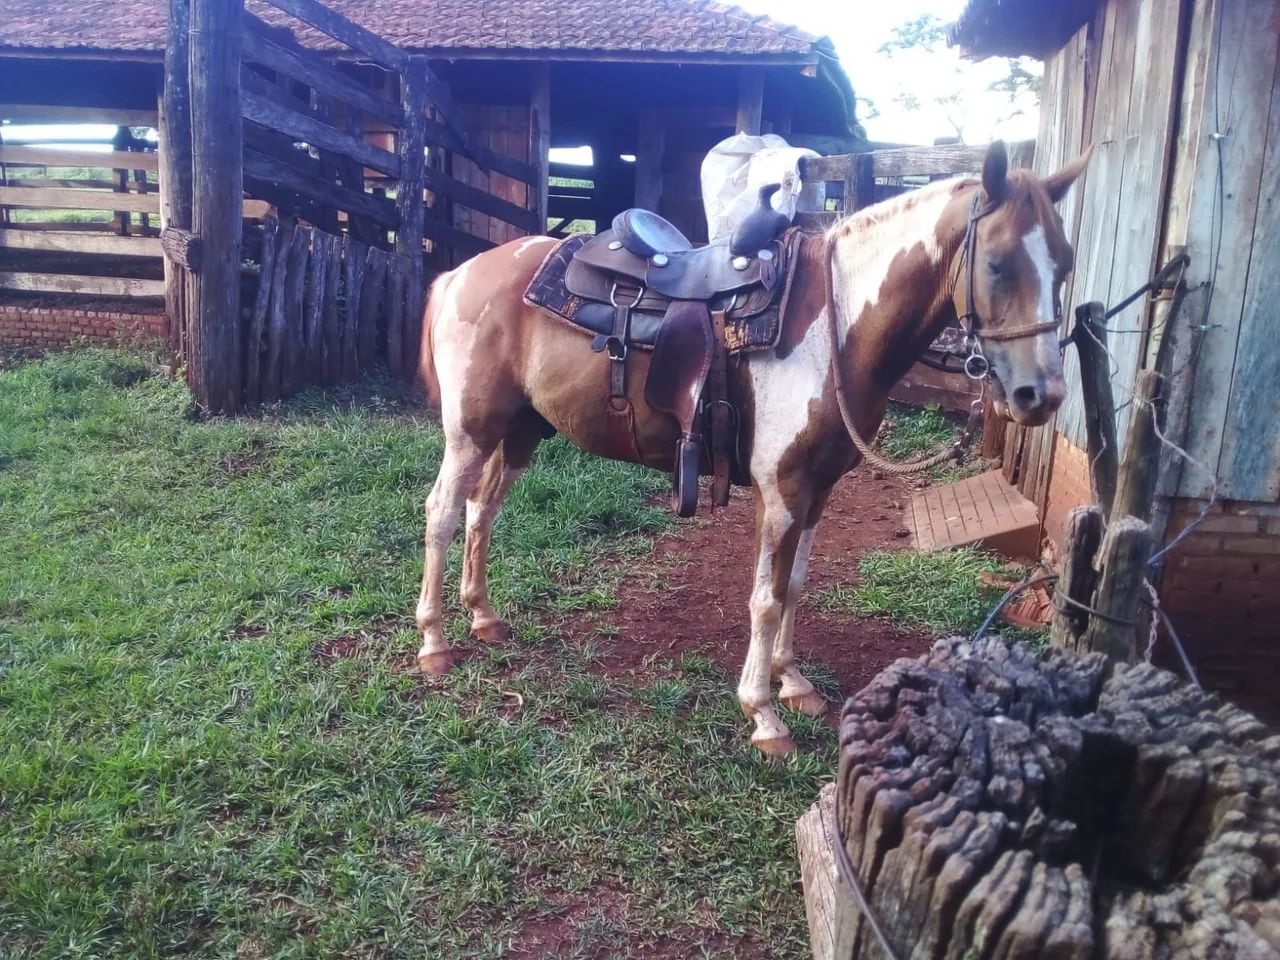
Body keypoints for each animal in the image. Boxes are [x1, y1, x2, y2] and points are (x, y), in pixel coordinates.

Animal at [413, 141, 1089, 756]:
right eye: (997, 264)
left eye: (1063, 264)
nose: (1042, 395)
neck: (834, 330)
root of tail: (459, 274)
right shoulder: (781, 490)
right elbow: (765, 598)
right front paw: (763, 713)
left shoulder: (818, 490)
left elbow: (795, 585)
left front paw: (795, 683)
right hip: (469, 433)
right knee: (442, 512)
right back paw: (435, 642)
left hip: (518, 433)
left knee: (481, 511)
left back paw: (483, 617)